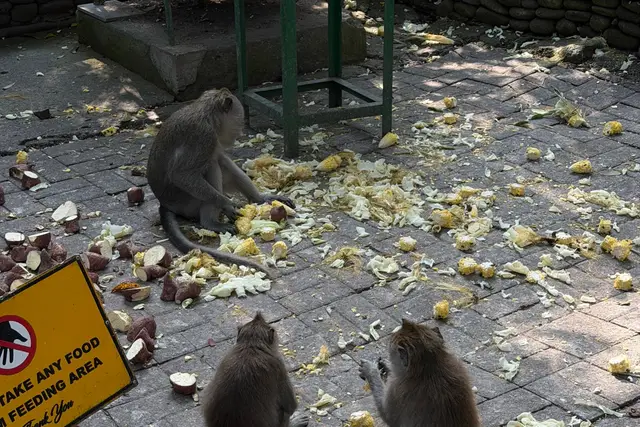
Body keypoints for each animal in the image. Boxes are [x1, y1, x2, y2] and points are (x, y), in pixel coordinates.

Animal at [146, 88, 295, 276]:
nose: (238, 134)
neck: (207, 115)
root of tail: (165, 204)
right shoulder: (205, 138)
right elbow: (181, 175)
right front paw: (226, 204)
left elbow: (219, 158)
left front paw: (259, 199)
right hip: (185, 202)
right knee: (211, 165)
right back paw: (210, 222)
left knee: (218, 160)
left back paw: (259, 199)